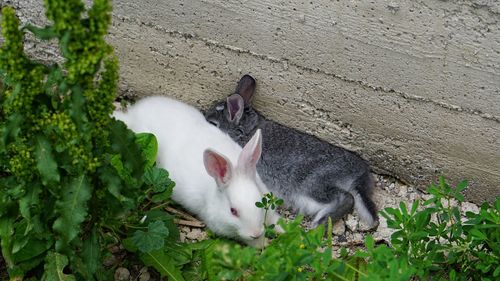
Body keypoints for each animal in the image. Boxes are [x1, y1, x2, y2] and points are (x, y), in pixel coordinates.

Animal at [205, 75, 376, 230]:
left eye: (212, 123)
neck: (244, 132)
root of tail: (359, 174)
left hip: (311, 185)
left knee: (346, 198)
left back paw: (319, 223)